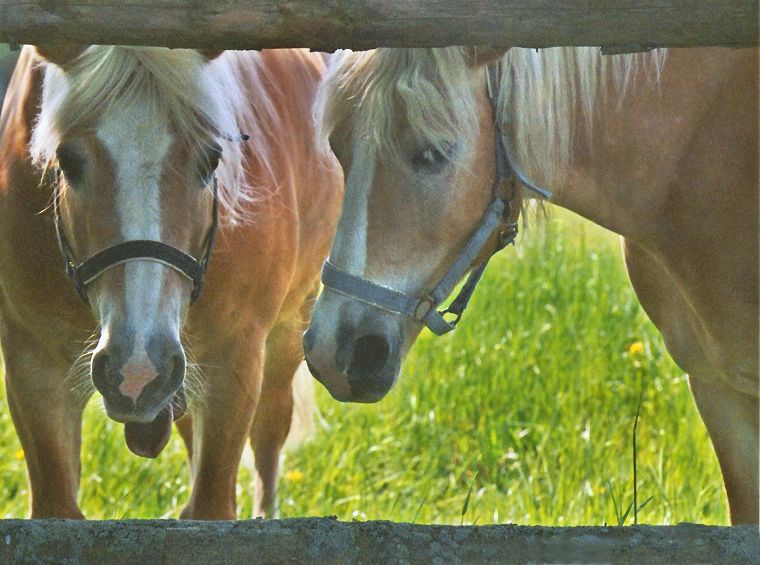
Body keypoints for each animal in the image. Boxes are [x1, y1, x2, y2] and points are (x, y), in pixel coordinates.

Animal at [0, 46, 340, 516]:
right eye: (67, 162)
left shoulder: (231, 364)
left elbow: (212, 505)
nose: (137, 368)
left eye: (211, 160)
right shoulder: (32, 363)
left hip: (289, 328)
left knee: (270, 432)